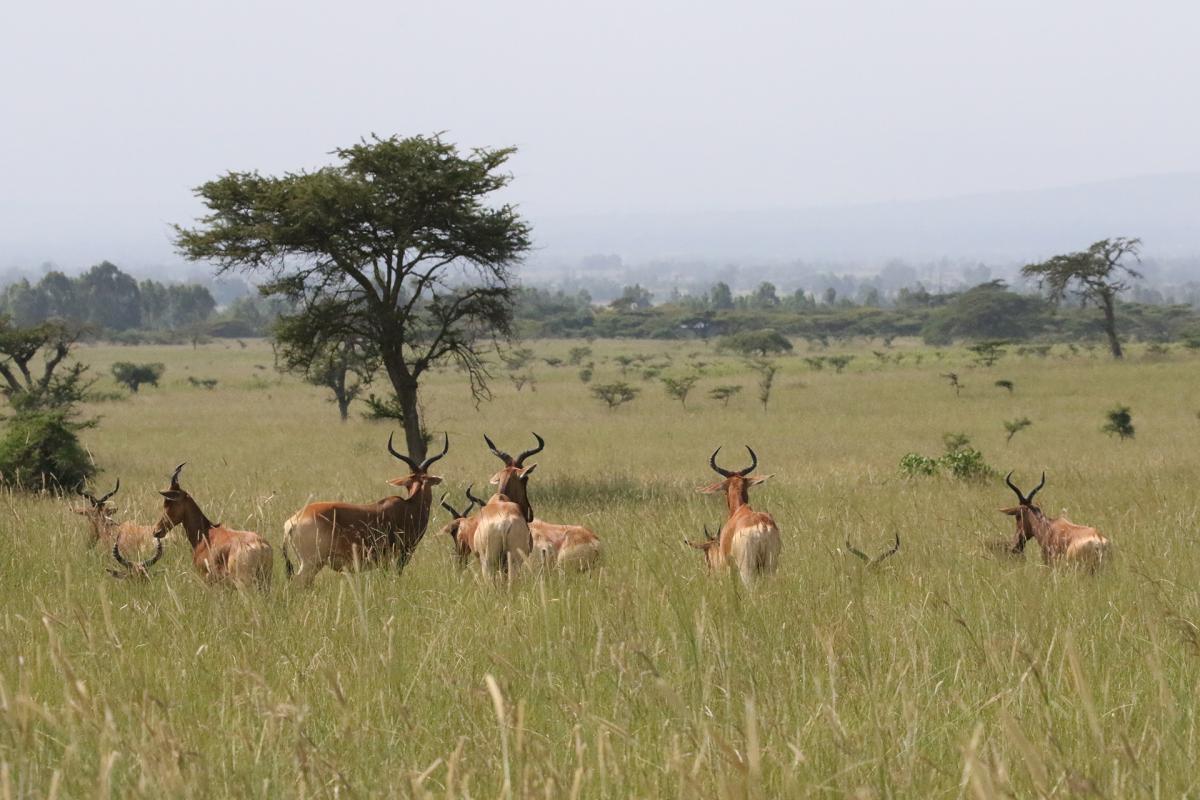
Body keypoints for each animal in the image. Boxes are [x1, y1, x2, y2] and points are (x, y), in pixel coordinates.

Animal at [691, 448, 782, 585]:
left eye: (725, 491)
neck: (740, 509)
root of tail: (761, 526)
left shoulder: (728, 566)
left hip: (747, 569)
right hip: (770, 566)